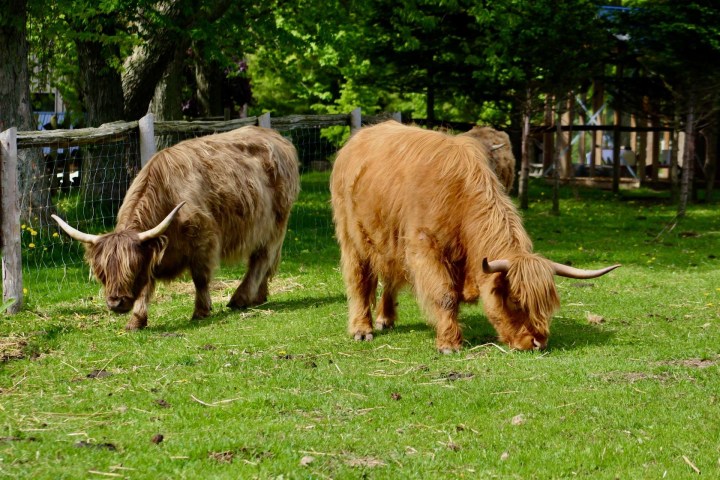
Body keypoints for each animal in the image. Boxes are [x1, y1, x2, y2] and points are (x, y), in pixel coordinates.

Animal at [52, 126, 300, 330]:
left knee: (262, 258)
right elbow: (146, 285)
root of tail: (276, 137)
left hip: (275, 224)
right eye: (101, 271)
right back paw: (259, 296)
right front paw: (136, 321)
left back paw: (240, 298)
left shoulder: (204, 241)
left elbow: (200, 278)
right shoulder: (152, 248)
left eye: (132, 268)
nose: (115, 302)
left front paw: (201, 311)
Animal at [330, 121, 618, 353]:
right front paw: (449, 343)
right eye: (515, 300)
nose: (538, 342)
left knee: (391, 277)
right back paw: (362, 328)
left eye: (546, 303)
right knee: (360, 279)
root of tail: (361, 135)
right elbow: (444, 296)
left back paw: (385, 318)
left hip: (391, 241)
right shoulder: (425, 249)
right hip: (352, 236)